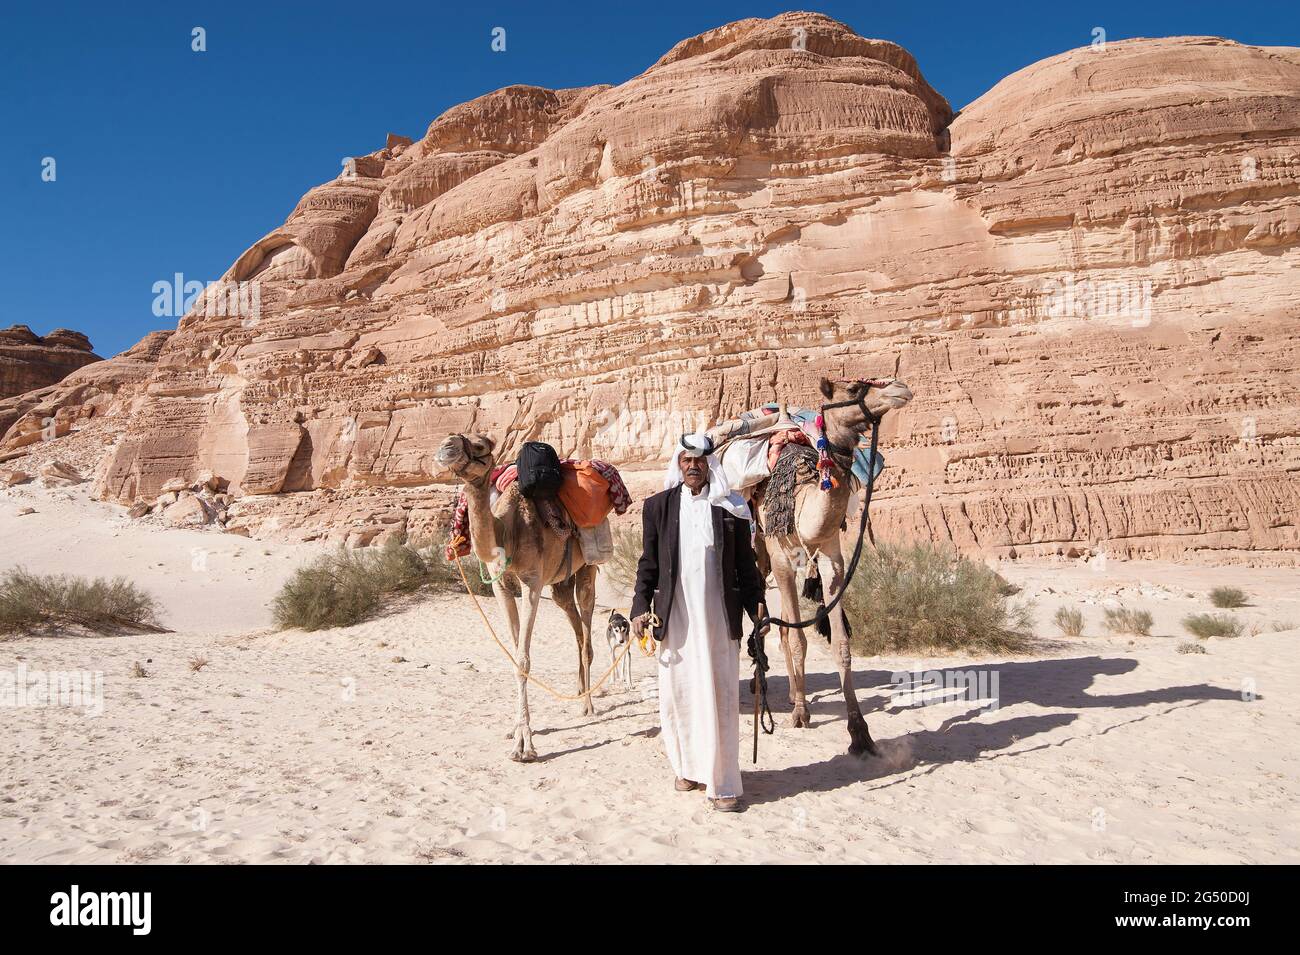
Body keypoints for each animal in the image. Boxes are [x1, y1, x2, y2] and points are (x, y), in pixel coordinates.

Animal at [434, 433, 597, 762]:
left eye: (480, 445)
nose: (447, 446)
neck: (507, 532)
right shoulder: (501, 587)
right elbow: (512, 653)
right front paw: (515, 730)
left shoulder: (531, 583)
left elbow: (522, 658)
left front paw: (524, 745)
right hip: (560, 582)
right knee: (572, 619)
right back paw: (577, 691)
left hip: (588, 566)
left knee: (586, 625)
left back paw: (588, 705)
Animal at [726, 378, 913, 757]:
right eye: (854, 387)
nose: (900, 388)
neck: (804, 493)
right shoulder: (780, 558)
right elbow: (798, 638)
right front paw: (800, 713)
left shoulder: (833, 559)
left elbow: (840, 644)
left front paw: (859, 731)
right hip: (758, 552)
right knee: (769, 619)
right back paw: (764, 686)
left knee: (780, 626)